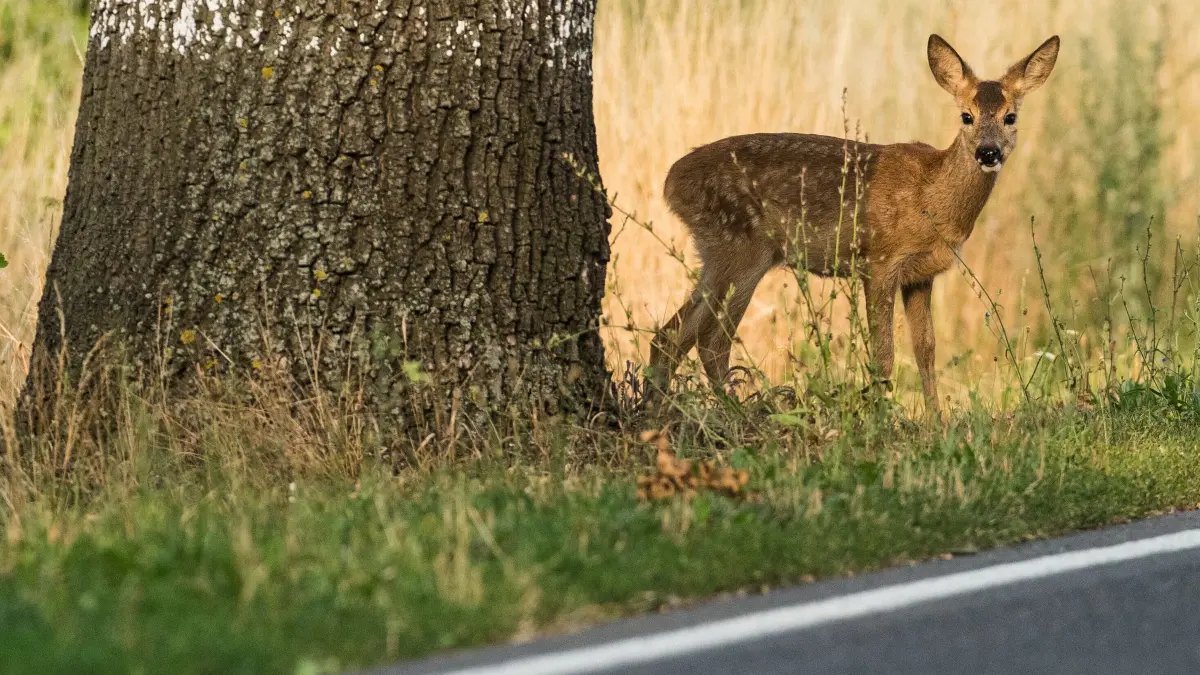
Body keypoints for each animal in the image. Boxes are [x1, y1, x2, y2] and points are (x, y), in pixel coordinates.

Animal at [648, 34, 1060, 412]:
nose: (988, 152)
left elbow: (926, 351)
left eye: (1010, 117)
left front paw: (936, 424)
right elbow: (884, 356)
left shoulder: (920, 274)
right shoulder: (879, 262)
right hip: (741, 250)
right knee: (711, 341)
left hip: (718, 254)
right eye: (966, 116)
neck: (932, 199)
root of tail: (671, 182)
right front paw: (883, 420)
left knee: (671, 337)